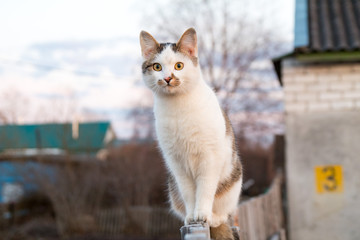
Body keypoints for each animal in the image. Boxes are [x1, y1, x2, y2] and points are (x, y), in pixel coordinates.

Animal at [139, 28, 243, 240]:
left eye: (179, 66)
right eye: (157, 67)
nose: (168, 78)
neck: (178, 108)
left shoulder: (209, 158)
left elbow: (204, 190)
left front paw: (202, 214)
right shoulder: (176, 162)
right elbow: (188, 193)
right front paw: (191, 216)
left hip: (234, 183)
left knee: (224, 215)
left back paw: (214, 217)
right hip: (172, 188)